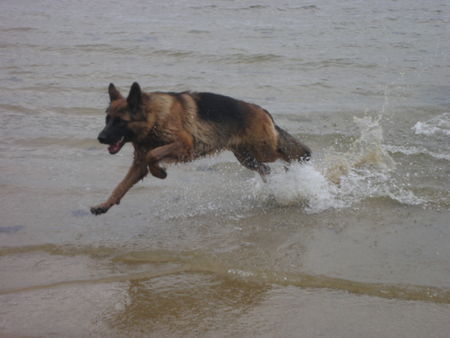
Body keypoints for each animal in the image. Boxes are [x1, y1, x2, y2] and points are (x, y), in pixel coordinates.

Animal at [90, 82, 312, 214]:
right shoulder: (138, 164)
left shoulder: (183, 143)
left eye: (120, 122)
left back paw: (299, 171)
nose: (100, 138)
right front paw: (105, 205)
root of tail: (262, 111)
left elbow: (153, 155)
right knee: (265, 168)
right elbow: (121, 185)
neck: (155, 118)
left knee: (290, 154)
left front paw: (160, 172)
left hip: (263, 150)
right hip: (245, 157)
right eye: (107, 119)